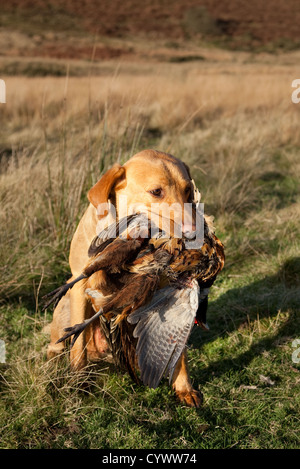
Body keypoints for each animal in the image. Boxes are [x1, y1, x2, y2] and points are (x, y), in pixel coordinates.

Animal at [47, 150, 202, 406]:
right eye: (156, 191)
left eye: (188, 190)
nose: (193, 233)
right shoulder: (80, 286)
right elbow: (77, 345)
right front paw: (79, 382)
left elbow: (179, 350)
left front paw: (184, 387)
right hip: (66, 307)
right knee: (61, 342)